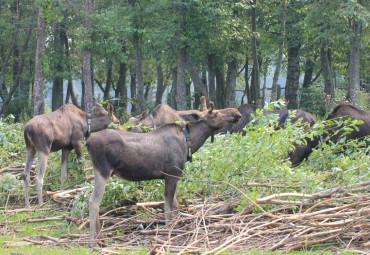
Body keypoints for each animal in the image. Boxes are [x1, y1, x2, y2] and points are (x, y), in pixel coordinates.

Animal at [87, 101, 243, 247]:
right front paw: (168, 232)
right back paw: (93, 242)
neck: (189, 142)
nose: (236, 113)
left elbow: (176, 205)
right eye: (215, 113)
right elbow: (168, 208)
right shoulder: (171, 174)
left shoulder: (174, 176)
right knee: (93, 201)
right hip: (103, 171)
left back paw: (101, 240)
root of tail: (87, 142)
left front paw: (176, 227)